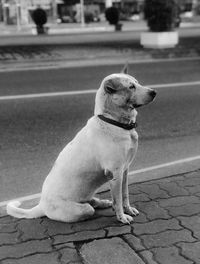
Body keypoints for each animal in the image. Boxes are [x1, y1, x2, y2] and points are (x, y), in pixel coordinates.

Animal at [6, 65, 156, 224]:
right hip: (81, 210)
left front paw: (128, 209)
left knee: (92, 202)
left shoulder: (125, 170)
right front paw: (121, 217)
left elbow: (125, 195)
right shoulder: (115, 173)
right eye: (131, 87)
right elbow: (118, 200)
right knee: (89, 208)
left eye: (137, 83)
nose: (154, 92)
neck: (114, 123)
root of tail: (41, 205)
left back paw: (103, 202)